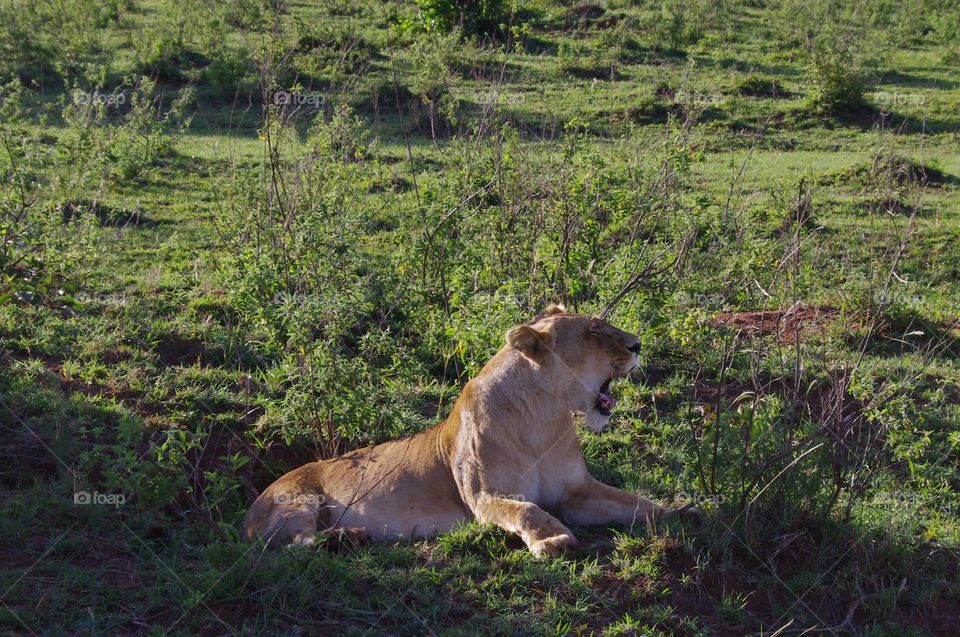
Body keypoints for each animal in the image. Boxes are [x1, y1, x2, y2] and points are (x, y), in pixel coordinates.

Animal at [243, 304, 688, 557]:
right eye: (593, 332)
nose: (637, 345)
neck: (545, 417)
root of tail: (249, 509)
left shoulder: (576, 492)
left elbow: (629, 500)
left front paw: (680, 511)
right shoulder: (483, 498)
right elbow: (528, 510)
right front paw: (553, 541)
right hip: (298, 502)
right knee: (294, 544)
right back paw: (346, 539)